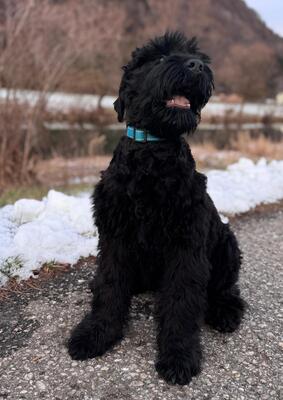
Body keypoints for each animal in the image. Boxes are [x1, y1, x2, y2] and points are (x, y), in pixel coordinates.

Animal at [69, 32, 246, 386]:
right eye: (159, 58)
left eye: (195, 55)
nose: (196, 66)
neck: (153, 151)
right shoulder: (115, 237)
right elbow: (109, 287)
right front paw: (96, 334)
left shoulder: (186, 245)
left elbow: (181, 301)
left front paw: (179, 356)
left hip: (226, 243)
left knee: (224, 288)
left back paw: (225, 311)